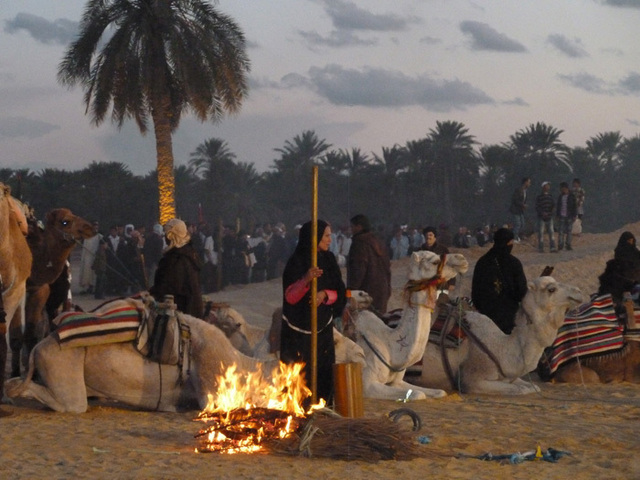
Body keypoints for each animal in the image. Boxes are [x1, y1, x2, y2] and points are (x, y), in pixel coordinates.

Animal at [9, 208, 94, 376]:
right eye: (65, 221)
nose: (91, 228)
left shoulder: (39, 290)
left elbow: (31, 333)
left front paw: (33, 372)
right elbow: (15, 337)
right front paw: (14, 373)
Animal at [352, 249, 468, 400]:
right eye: (434, 261)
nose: (461, 258)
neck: (391, 347)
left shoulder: (397, 382)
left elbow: (439, 392)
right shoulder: (367, 385)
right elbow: (419, 394)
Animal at [416, 276, 584, 396]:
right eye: (551, 289)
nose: (578, 292)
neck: (500, 347)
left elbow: (532, 386)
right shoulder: (471, 379)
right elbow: (522, 390)